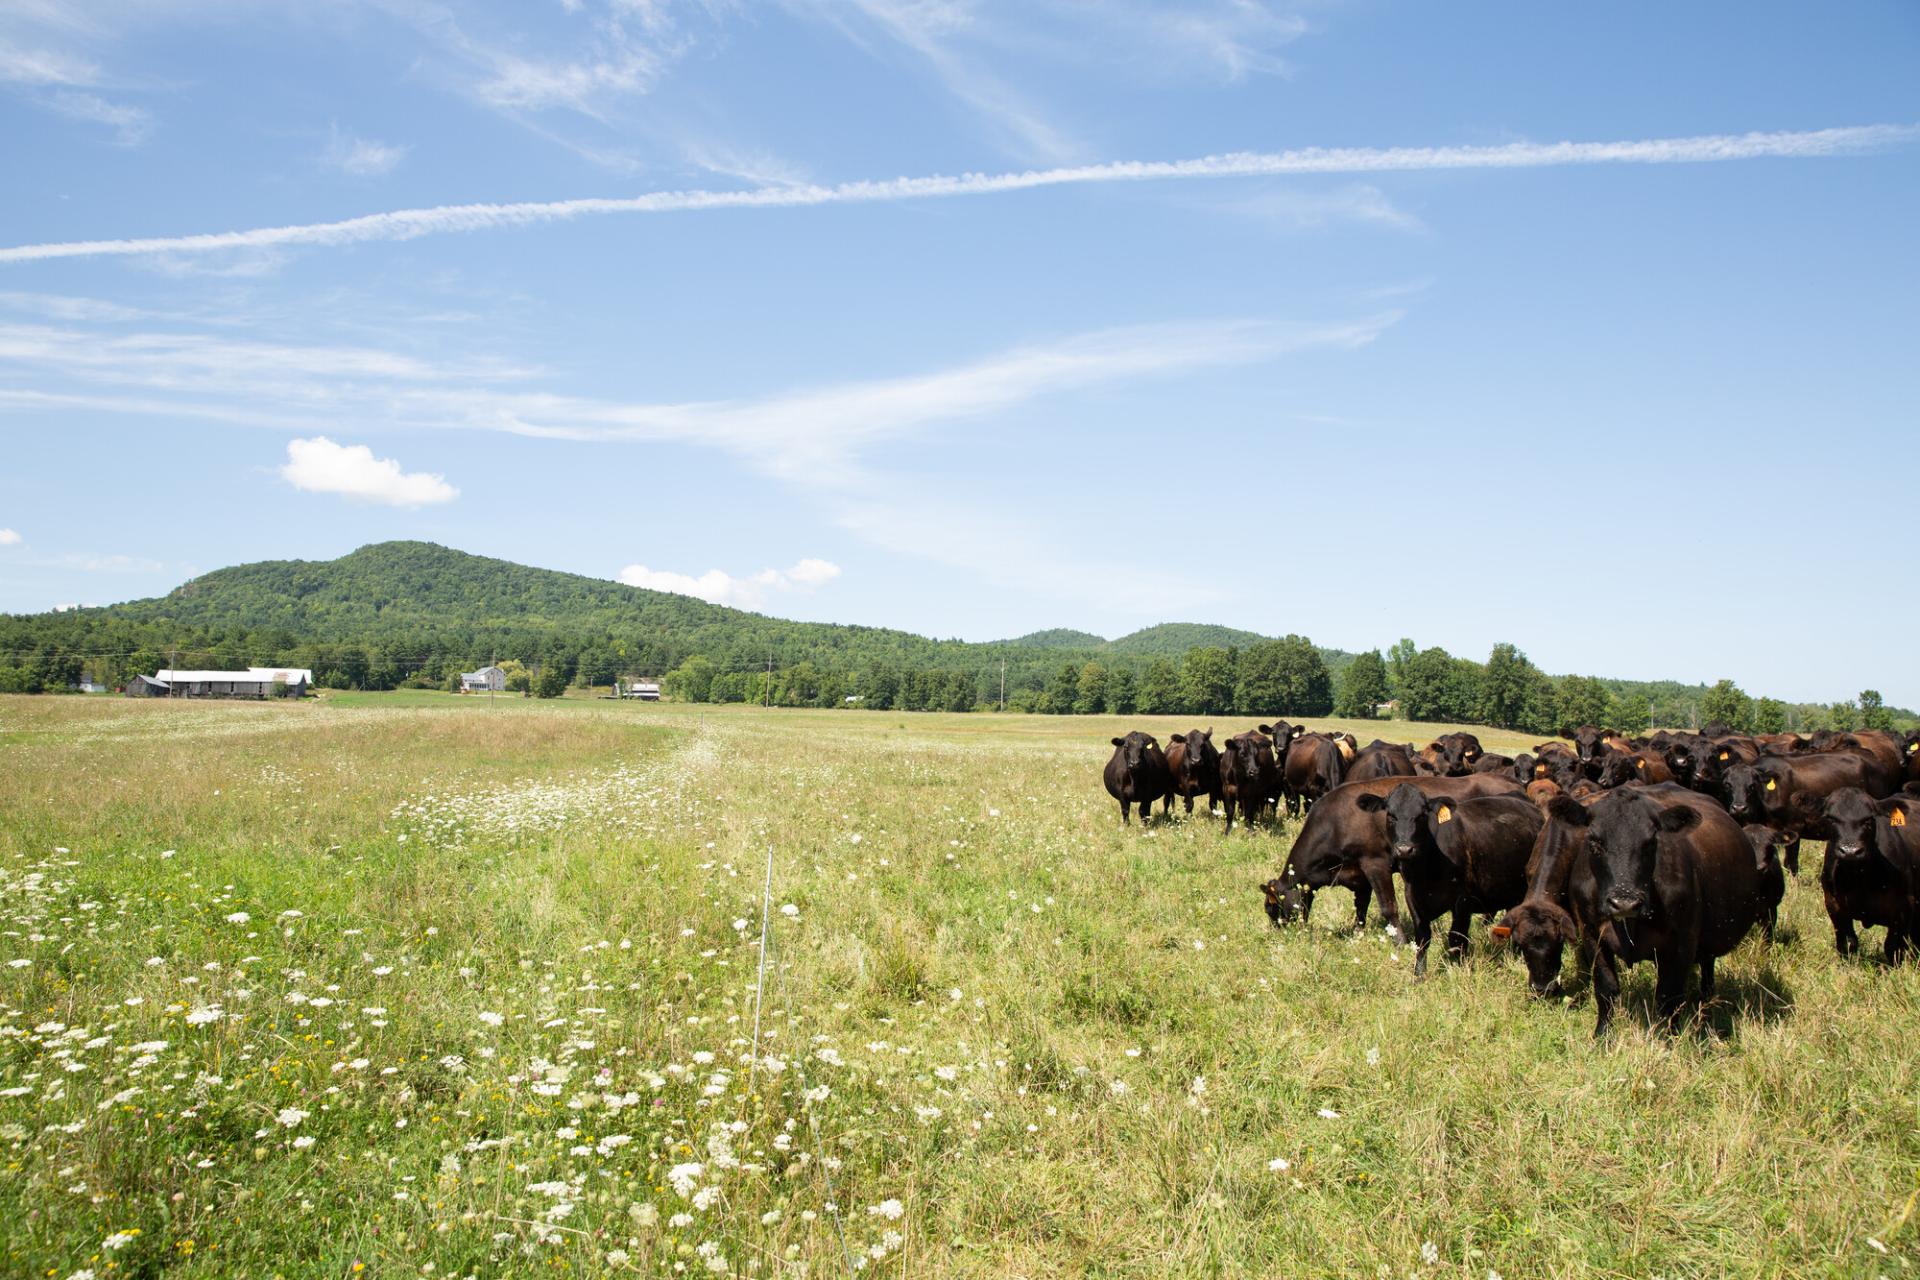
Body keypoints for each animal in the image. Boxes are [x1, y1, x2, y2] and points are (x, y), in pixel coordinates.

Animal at [1265, 772, 1524, 934]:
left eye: (1272, 908)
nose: (1280, 935)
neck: (1336, 822)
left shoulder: (1376, 864)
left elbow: (1389, 907)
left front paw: (1399, 941)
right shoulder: (1359, 874)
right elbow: (1361, 905)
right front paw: (1358, 933)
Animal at [1353, 783, 1543, 975]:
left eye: (1422, 815)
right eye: (1391, 815)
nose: (1405, 849)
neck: (1427, 870)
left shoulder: (1463, 900)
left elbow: (1456, 938)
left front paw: (1459, 970)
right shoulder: (1412, 896)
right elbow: (1422, 938)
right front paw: (1419, 974)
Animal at [1568, 787, 1772, 1036]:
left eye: (1650, 843)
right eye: (1595, 842)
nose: (1624, 902)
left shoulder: (1682, 943)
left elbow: (1669, 996)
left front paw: (1669, 1038)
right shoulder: (1590, 933)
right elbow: (1606, 989)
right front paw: (1602, 1035)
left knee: (1707, 974)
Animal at [1814, 786, 1920, 961]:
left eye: (1868, 819)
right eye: (1831, 818)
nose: (1850, 851)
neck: (1860, 878)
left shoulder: (1904, 908)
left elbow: (1893, 948)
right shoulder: (1833, 904)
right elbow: (1848, 943)